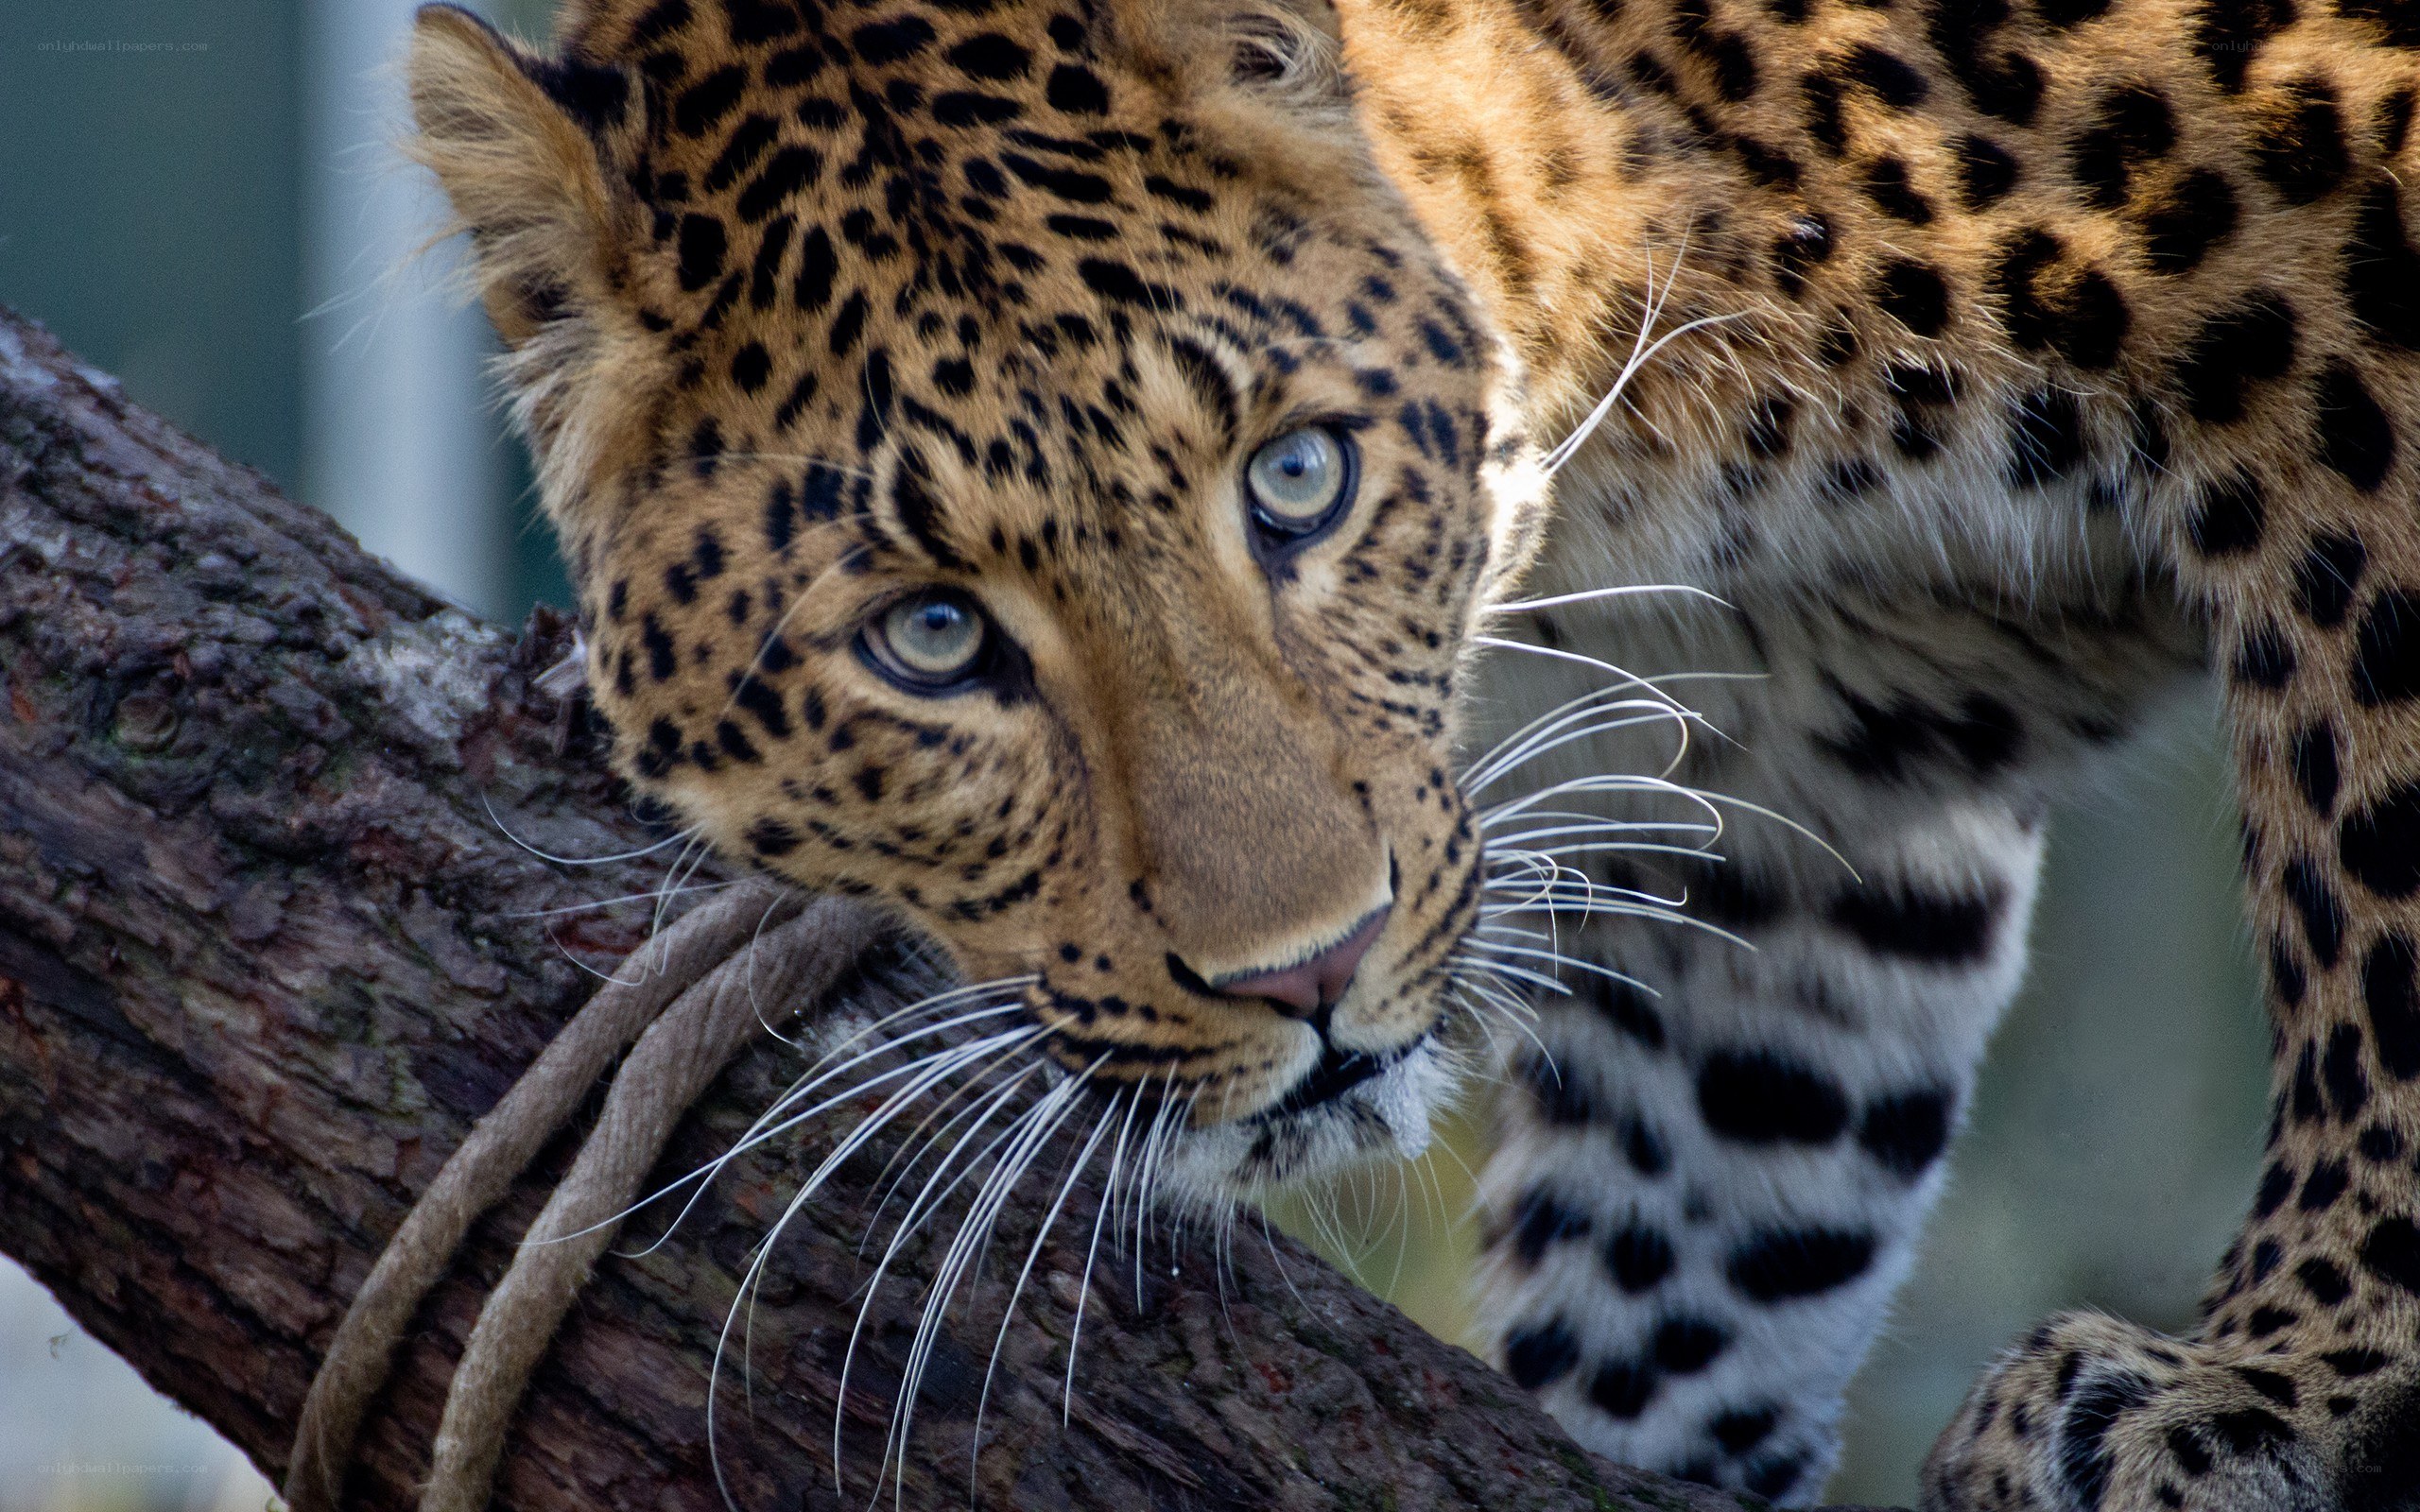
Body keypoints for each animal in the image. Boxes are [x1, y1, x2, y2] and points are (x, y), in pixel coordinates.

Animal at [404, 0, 2420, 1505]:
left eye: (1297, 478)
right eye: (933, 636)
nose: (1306, 976)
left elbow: (2375, 888)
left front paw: (2279, 1390)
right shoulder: (1814, 778)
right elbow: (1720, 1192)